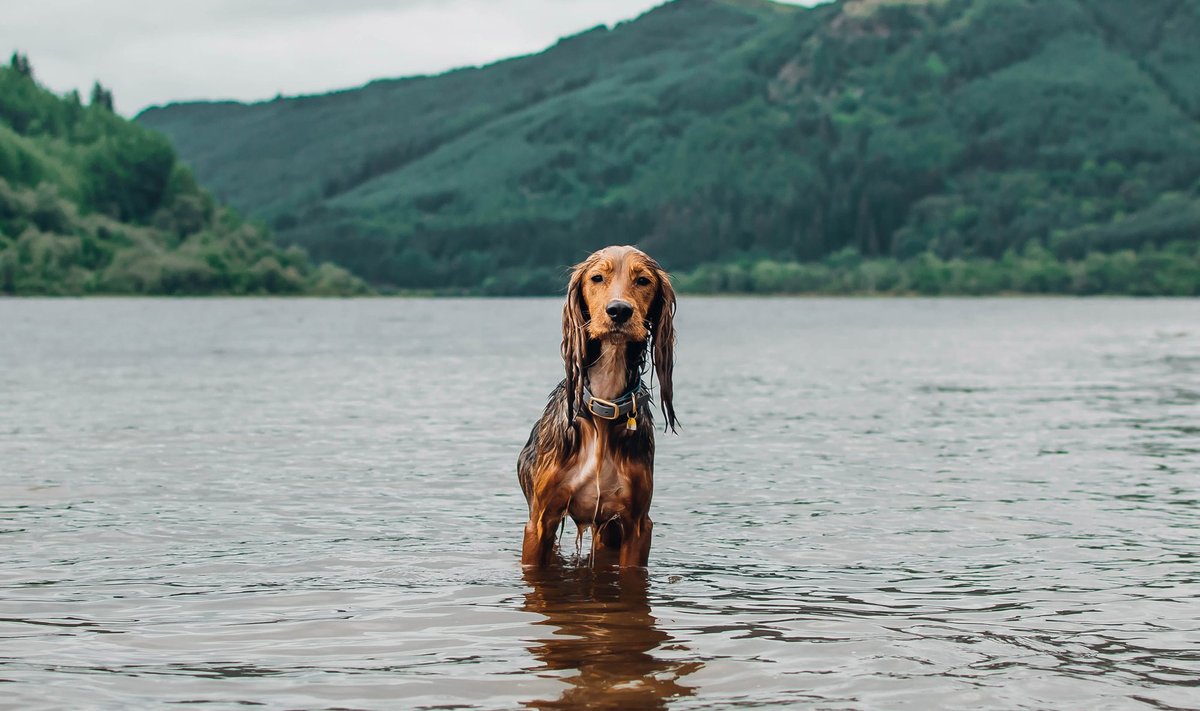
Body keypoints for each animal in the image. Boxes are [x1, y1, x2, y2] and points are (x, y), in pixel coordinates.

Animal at [516, 247, 676, 569]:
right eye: (597, 277)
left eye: (643, 280)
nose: (619, 311)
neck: (604, 404)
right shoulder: (540, 522)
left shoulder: (636, 525)